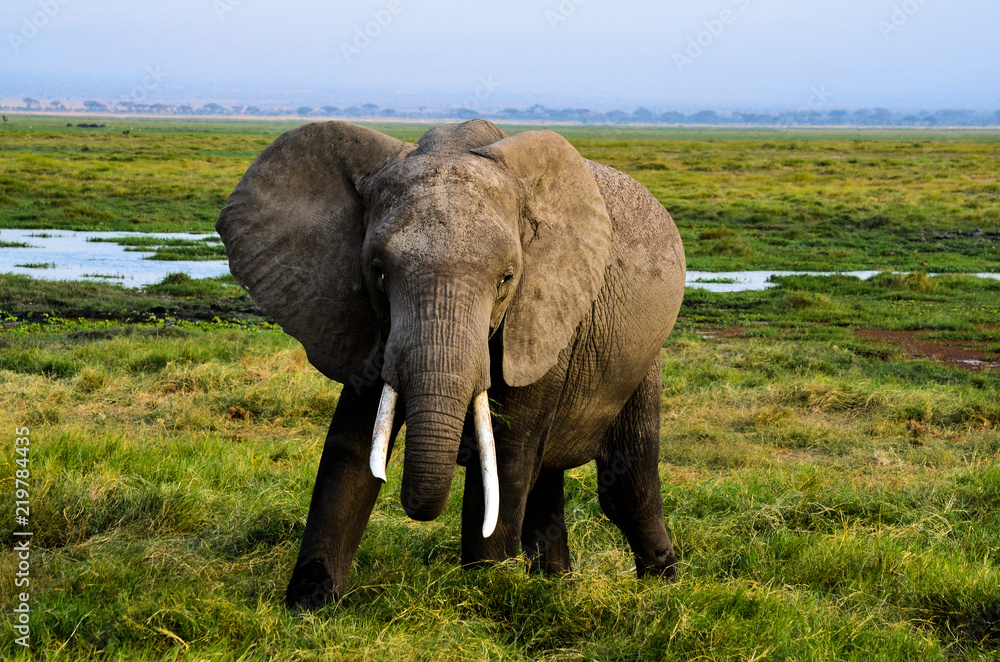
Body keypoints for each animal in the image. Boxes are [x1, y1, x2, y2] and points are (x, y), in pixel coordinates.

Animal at [216, 119, 685, 609]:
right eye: (377, 271)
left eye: (507, 279)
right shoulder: (372, 325)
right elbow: (351, 444)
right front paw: (310, 605)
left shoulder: (541, 317)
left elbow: (506, 455)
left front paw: (486, 591)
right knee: (549, 479)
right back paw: (556, 584)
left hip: (644, 358)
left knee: (626, 481)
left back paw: (662, 590)